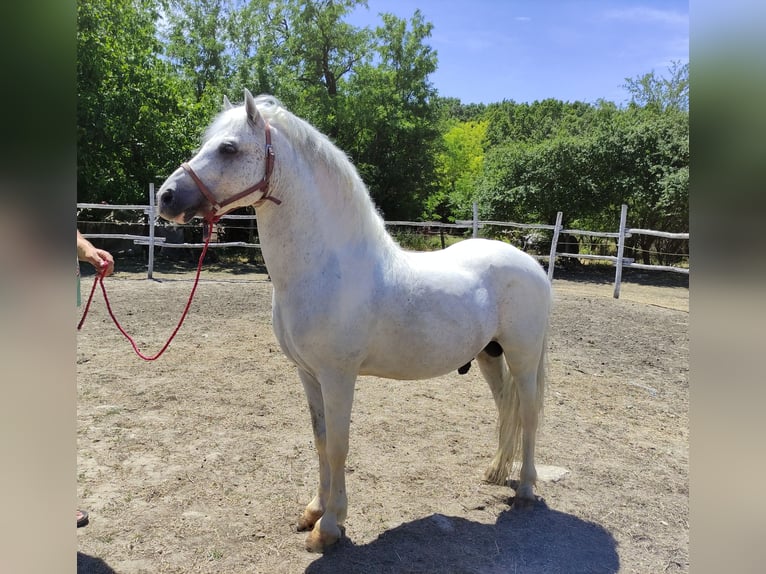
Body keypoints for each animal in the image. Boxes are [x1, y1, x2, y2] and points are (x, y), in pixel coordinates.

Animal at [157, 90, 552, 553]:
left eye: (229, 148)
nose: (166, 198)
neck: (327, 268)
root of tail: (531, 264)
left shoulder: (338, 376)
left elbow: (339, 446)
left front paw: (329, 528)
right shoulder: (308, 374)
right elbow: (320, 440)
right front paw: (313, 511)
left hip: (523, 356)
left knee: (529, 413)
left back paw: (525, 488)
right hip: (490, 355)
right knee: (505, 406)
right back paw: (495, 473)